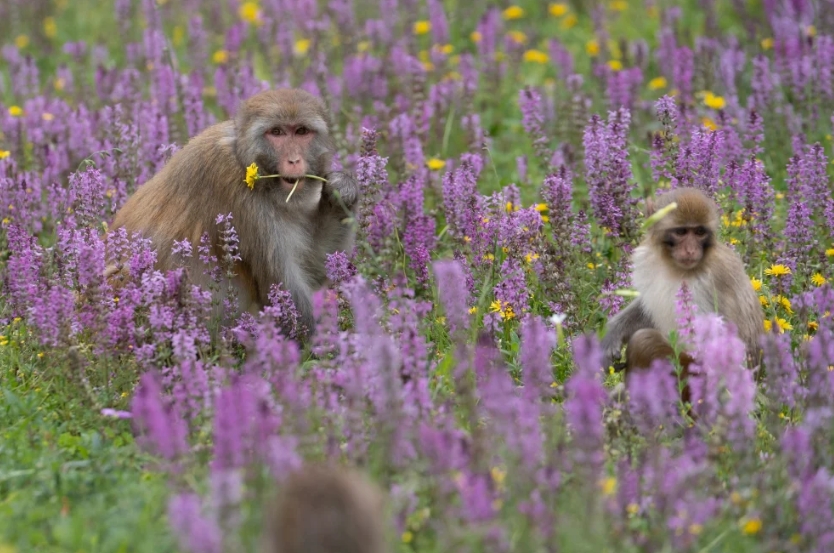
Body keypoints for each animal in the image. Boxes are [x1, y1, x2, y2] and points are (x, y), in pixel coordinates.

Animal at [107, 89, 354, 332]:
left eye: (301, 131)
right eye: (277, 132)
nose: (294, 160)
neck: (244, 159)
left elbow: (314, 266)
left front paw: (341, 192)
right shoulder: (233, 188)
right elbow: (283, 286)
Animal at [600, 185, 760, 370]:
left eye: (699, 232)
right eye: (681, 231)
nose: (691, 250)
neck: (673, 267)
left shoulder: (715, 277)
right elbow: (646, 308)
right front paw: (612, 333)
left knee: (643, 341)